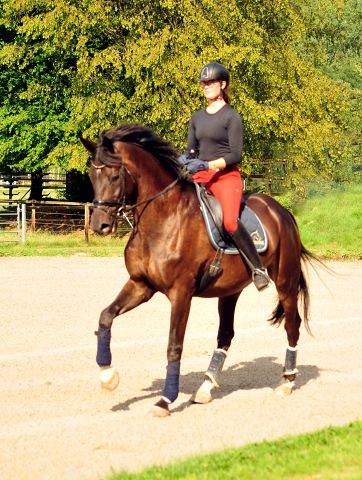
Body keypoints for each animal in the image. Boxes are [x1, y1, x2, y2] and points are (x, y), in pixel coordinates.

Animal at [80, 123, 312, 416]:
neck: (163, 218)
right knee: (225, 335)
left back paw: (287, 381)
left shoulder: (181, 293)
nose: (99, 226)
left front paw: (164, 400)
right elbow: (105, 316)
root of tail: (280, 209)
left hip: (285, 282)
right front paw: (107, 375)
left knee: (293, 324)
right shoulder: (140, 285)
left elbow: (174, 346)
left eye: (113, 176)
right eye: (91, 176)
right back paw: (205, 388)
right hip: (230, 291)